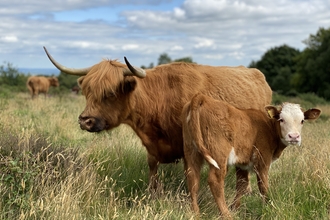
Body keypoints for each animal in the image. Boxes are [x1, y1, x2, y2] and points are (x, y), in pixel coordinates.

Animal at [42, 46, 272, 189]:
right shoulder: (152, 149)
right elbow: (152, 170)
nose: (85, 120)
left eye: (111, 93)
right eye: (87, 91)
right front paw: (152, 194)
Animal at [182, 93, 320, 217]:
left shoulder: (242, 163)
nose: (294, 137)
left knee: (192, 177)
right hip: (219, 154)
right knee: (215, 181)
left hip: (191, 150)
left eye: (302, 121)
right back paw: (226, 214)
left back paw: (195, 213)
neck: (268, 128)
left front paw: (235, 207)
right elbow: (263, 186)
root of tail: (202, 98)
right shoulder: (263, 160)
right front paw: (268, 207)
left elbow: (242, 185)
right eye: (281, 119)